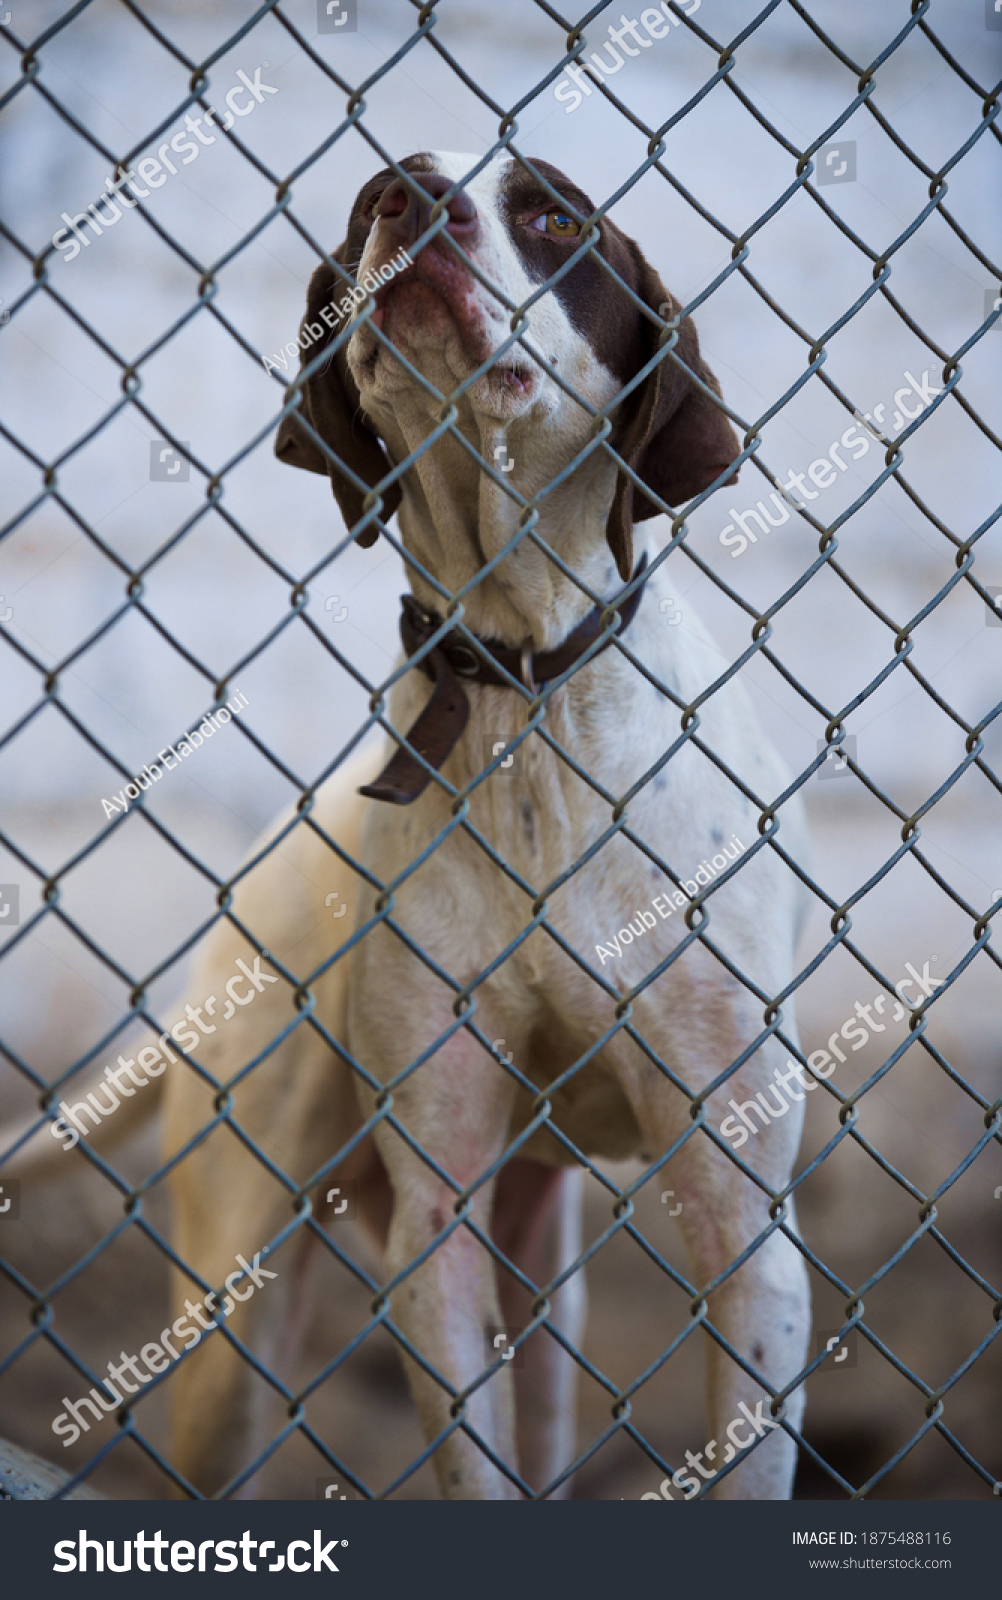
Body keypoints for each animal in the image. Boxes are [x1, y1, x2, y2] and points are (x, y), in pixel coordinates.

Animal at [19, 147, 813, 1497]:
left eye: (551, 213)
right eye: (365, 206)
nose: (412, 201)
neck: (523, 691)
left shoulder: (742, 1219)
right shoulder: (435, 1229)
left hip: (545, 1289)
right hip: (239, 1315)